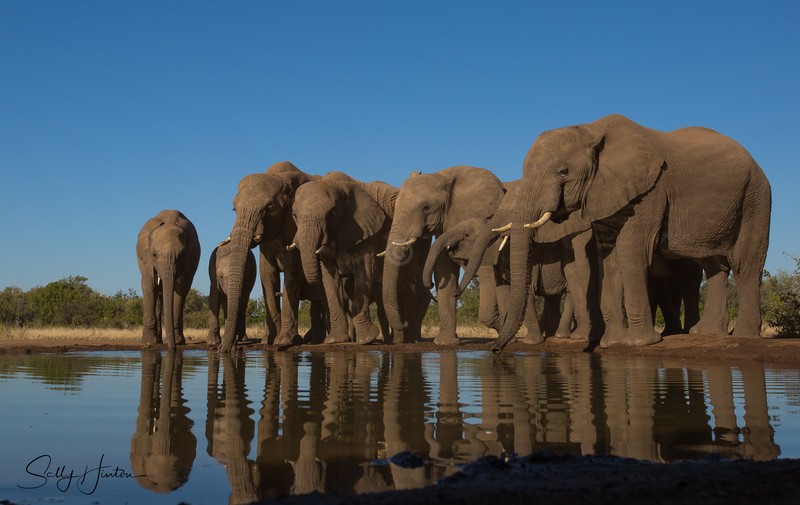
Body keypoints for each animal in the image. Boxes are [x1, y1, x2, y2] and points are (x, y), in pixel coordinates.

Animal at [136, 209, 201, 351]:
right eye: (154, 254)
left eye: (182, 254)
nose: (172, 349)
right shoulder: (146, 259)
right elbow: (148, 285)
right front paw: (147, 344)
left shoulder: (189, 261)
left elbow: (181, 288)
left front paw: (178, 342)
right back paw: (157, 341)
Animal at [219, 161, 326, 352]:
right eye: (234, 209)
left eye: (269, 209)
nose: (229, 349)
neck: (281, 179)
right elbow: (267, 275)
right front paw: (268, 341)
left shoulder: (294, 227)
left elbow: (292, 273)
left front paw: (283, 341)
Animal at [290, 177, 392, 344]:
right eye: (294, 215)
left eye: (332, 214)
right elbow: (330, 278)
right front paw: (335, 340)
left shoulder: (365, 232)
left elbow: (363, 272)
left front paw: (367, 340)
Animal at [487, 114, 771, 353]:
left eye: (563, 171)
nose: (495, 350)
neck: (591, 130)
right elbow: (609, 259)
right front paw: (612, 343)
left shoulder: (651, 190)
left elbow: (631, 250)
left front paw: (638, 343)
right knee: (713, 266)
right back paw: (707, 333)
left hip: (755, 197)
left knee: (745, 264)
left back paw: (743, 336)